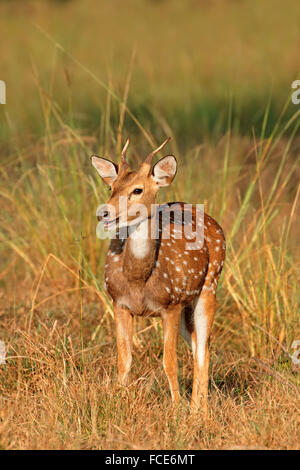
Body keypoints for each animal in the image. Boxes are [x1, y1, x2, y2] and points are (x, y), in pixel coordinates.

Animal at [91, 137, 225, 412]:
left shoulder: (169, 304)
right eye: (111, 187)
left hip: (209, 286)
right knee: (198, 346)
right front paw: (118, 402)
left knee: (203, 349)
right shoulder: (119, 302)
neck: (139, 279)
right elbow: (124, 359)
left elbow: (169, 362)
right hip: (187, 306)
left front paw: (176, 409)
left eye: (137, 190)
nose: (104, 213)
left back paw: (198, 410)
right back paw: (197, 406)